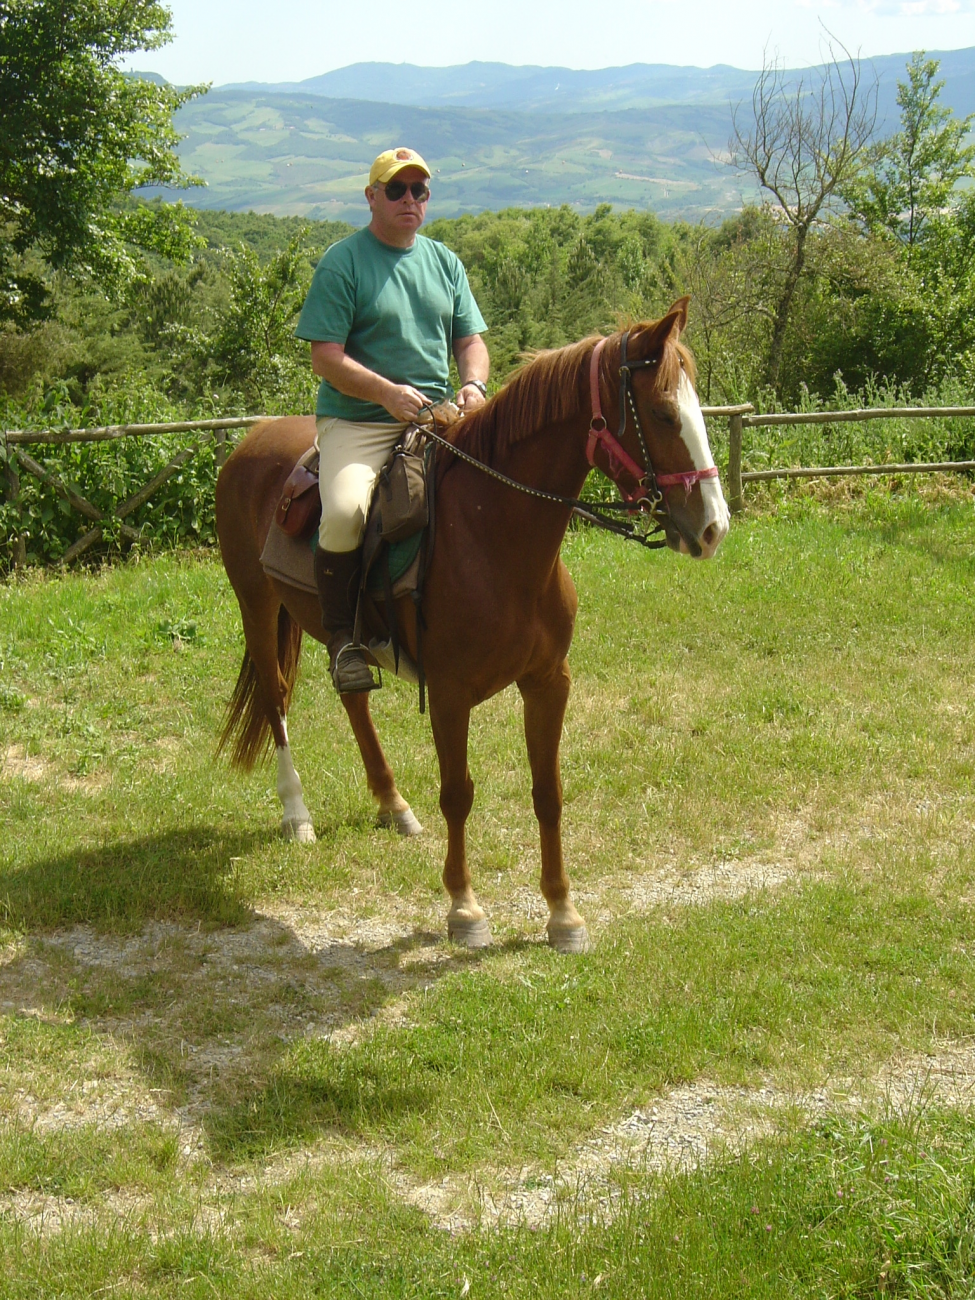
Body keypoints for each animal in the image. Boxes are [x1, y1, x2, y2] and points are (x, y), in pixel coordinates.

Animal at [217, 301, 728, 956]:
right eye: (664, 413)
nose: (714, 526)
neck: (495, 536)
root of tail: (249, 442)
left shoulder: (548, 683)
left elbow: (548, 794)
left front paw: (563, 914)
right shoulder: (449, 694)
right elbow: (457, 795)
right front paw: (464, 908)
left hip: (334, 635)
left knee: (352, 696)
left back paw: (392, 804)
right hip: (255, 606)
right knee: (276, 697)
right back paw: (296, 814)